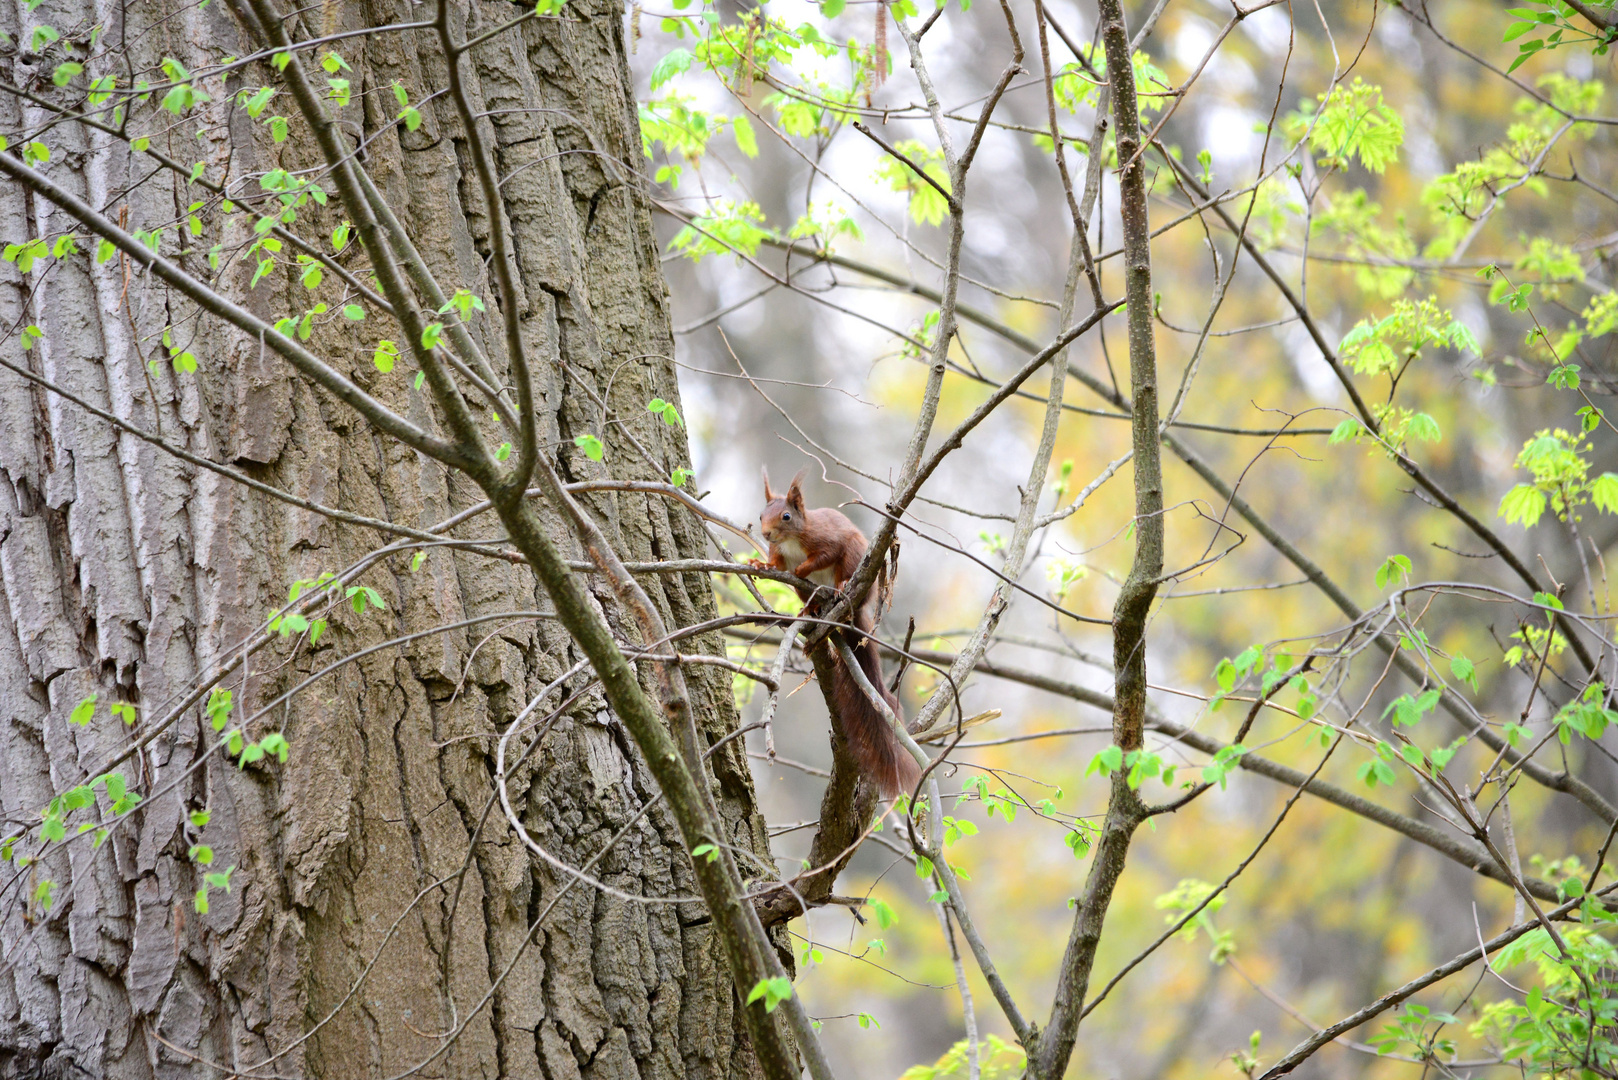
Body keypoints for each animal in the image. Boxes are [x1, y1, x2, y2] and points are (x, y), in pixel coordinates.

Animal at [750, 469, 919, 799]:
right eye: (761, 515)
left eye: (786, 516)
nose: (766, 534)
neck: (791, 541)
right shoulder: (779, 554)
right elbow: (775, 563)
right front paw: (759, 563)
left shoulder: (826, 540)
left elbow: (823, 556)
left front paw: (802, 568)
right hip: (804, 593)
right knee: (810, 599)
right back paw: (810, 610)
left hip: (854, 557)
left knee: (844, 572)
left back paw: (840, 588)